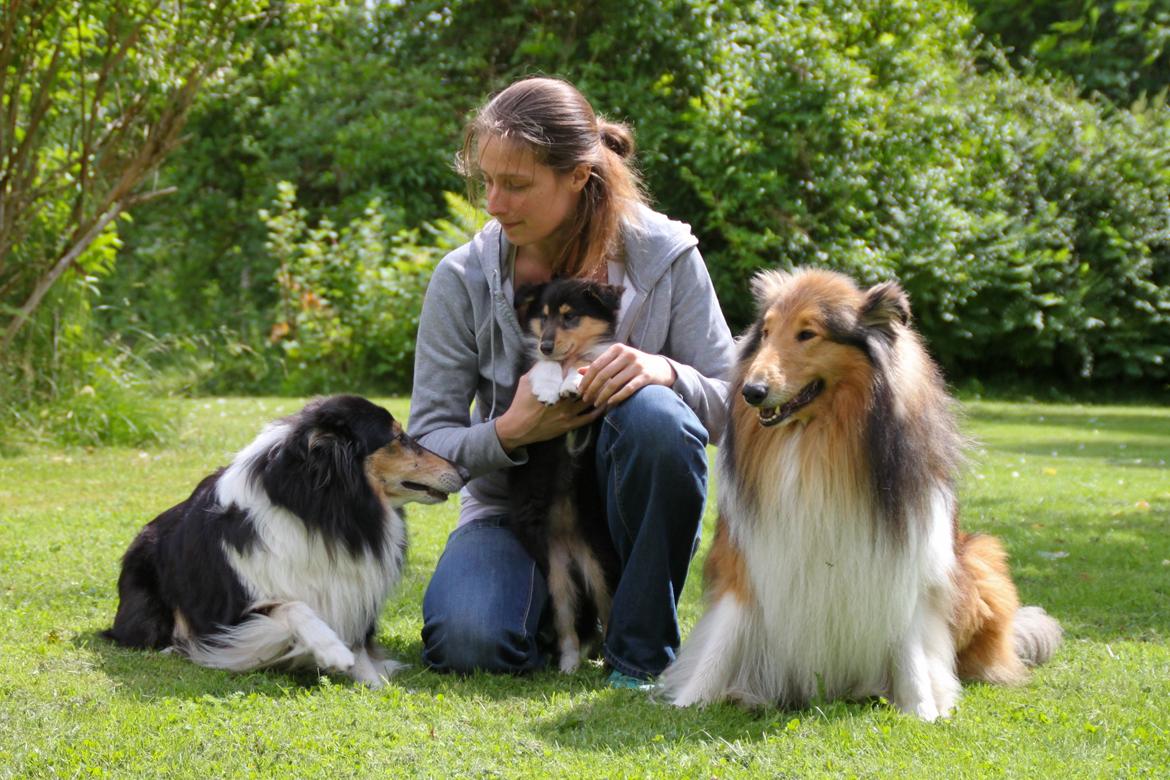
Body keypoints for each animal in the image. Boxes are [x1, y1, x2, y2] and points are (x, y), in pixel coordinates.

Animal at [102, 397, 463, 687]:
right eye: (398, 437)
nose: (462, 470)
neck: (321, 513)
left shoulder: (353, 588)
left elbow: (358, 640)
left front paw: (372, 681)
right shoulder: (229, 616)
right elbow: (292, 606)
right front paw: (332, 650)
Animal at [659, 268, 1062, 720]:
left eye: (807, 333)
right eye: (764, 332)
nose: (751, 391)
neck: (815, 444)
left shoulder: (908, 565)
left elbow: (910, 644)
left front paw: (923, 709)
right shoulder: (746, 561)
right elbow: (722, 641)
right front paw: (690, 700)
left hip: (980, 559)